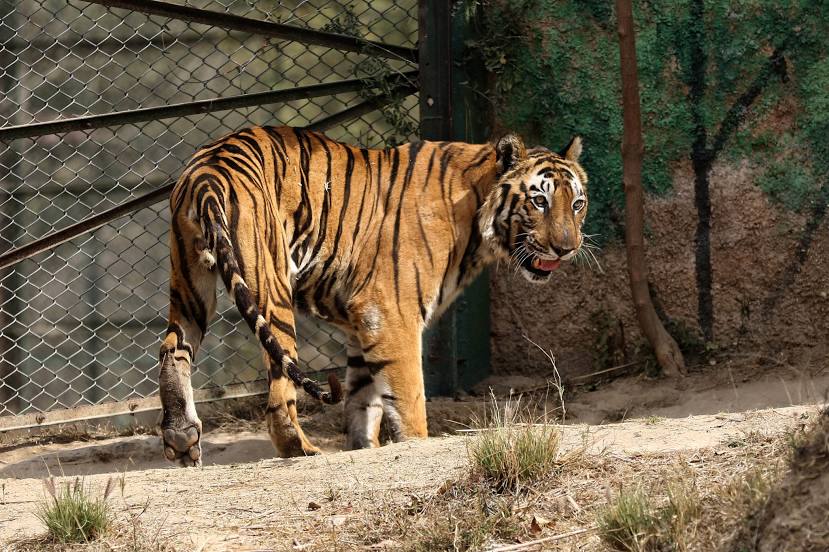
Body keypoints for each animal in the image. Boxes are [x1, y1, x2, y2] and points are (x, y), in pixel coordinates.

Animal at [158, 126, 584, 466]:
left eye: (577, 203)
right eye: (539, 201)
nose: (568, 248)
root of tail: (208, 169)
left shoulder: (360, 322)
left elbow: (365, 399)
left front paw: (363, 446)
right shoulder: (392, 313)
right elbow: (408, 398)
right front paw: (413, 442)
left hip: (189, 284)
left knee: (172, 351)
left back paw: (182, 440)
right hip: (270, 286)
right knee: (278, 390)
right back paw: (301, 449)